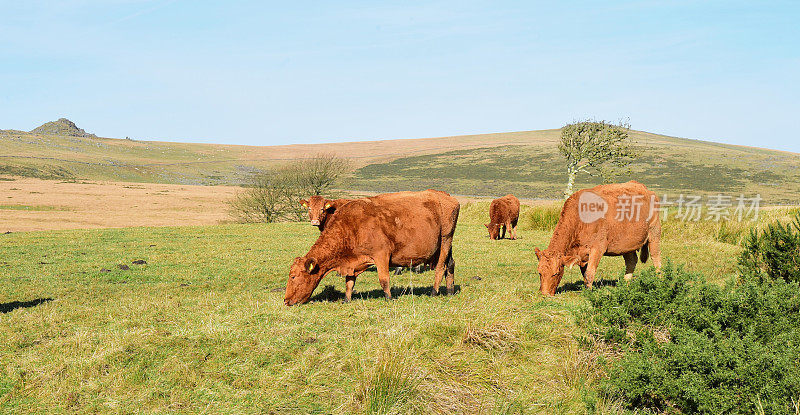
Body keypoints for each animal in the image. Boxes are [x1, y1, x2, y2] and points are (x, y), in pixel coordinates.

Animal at [288, 189, 462, 306]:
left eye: (293, 277)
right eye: (309, 208)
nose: (286, 300)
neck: (351, 226)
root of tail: (445, 195)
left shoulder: (381, 255)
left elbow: (384, 279)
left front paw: (389, 298)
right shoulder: (352, 262)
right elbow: (349, 282)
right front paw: (346, 299)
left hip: (445, 240)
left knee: (440, 267)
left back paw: (434, 292)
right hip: (443, 246)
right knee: (450, 265)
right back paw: (450, 291)